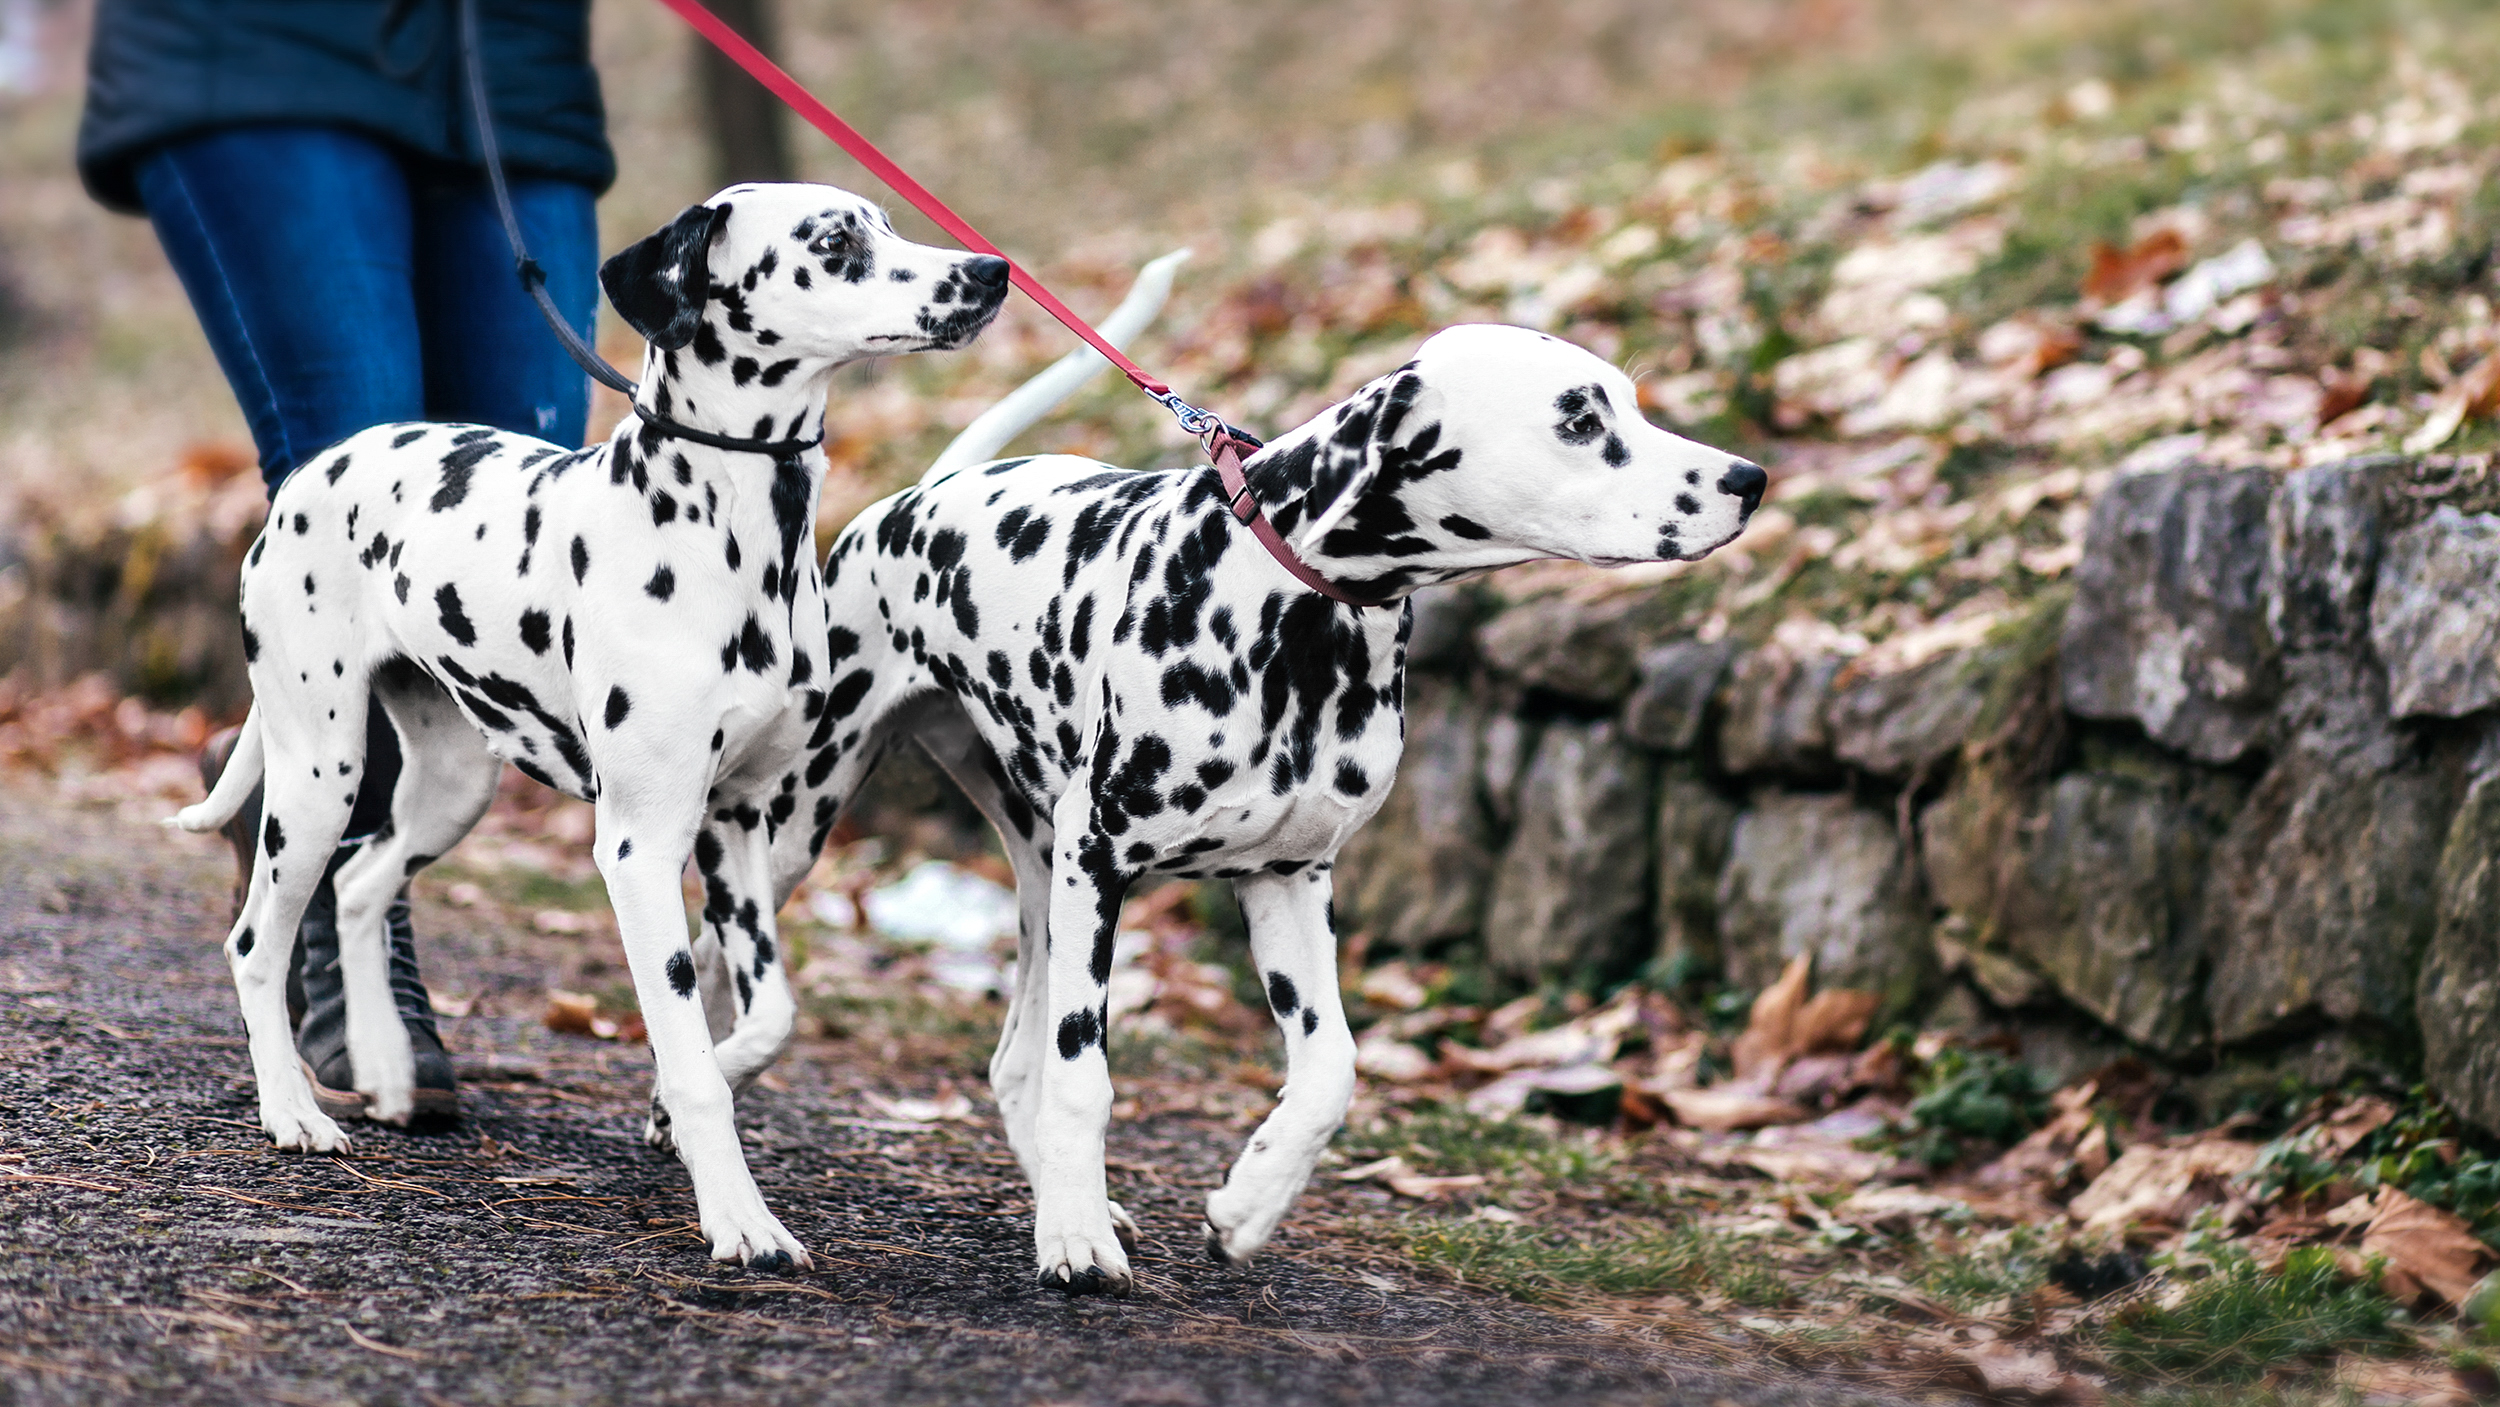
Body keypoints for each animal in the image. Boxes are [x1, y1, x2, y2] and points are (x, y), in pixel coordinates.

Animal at [166, 181, 1010, 1269]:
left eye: (888, 223)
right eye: (833, 241)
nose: (991, 272)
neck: (740, 537)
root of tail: (315, 472)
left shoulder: (737, 827)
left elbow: (771, 1016)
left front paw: (682, 1108)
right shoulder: (642, 849)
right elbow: (689, 1053)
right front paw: (739, 1218)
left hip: (453, 785)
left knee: (362, 882)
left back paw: (391, 1069)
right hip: (321, 773)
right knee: (256, 942)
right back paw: (292, 1112)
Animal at [695, 324, 1770, 1289]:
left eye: (1627, 401)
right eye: (1579, 420)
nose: (1750, 479)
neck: (1297, 616)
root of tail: (922, 495)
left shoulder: (1287, 879)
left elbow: (1331, 1069)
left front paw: (1247, 1203)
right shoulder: (1104, 857)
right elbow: (1085, 1075)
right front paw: (1076, 1244)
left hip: (1045, 883)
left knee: (1009, 1063)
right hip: (805, 822)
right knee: (721, 944)